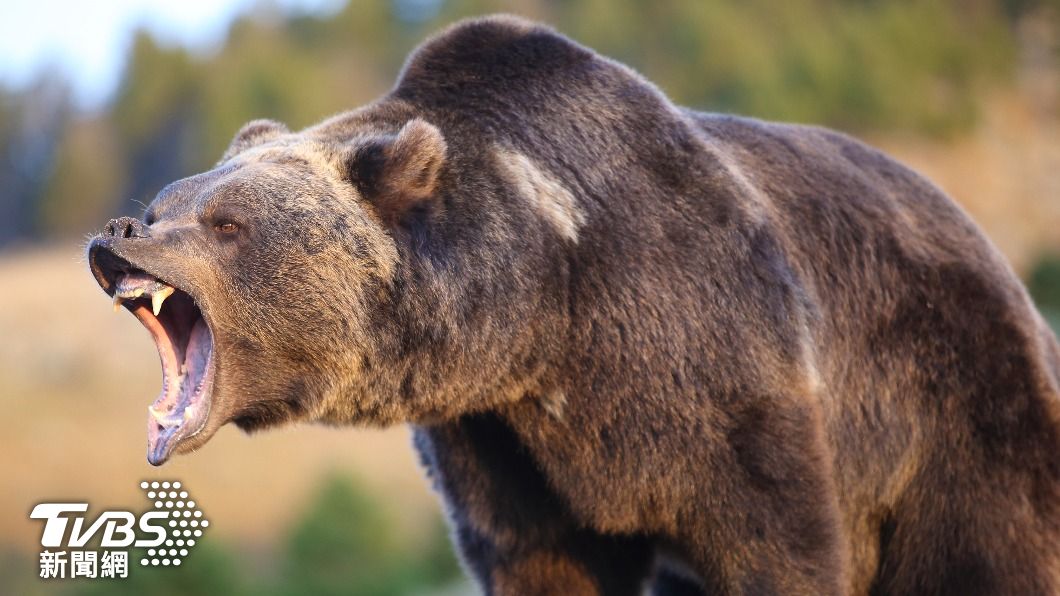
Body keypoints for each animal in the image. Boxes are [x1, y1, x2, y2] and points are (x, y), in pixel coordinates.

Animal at [89, 13, 1060, 593]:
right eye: (164, 204)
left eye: (226, 223)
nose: (117, 236)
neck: (542, 316)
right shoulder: (503, 450)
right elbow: (540, 560)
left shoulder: (718, 364)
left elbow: (776, 539)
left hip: (955, 411)